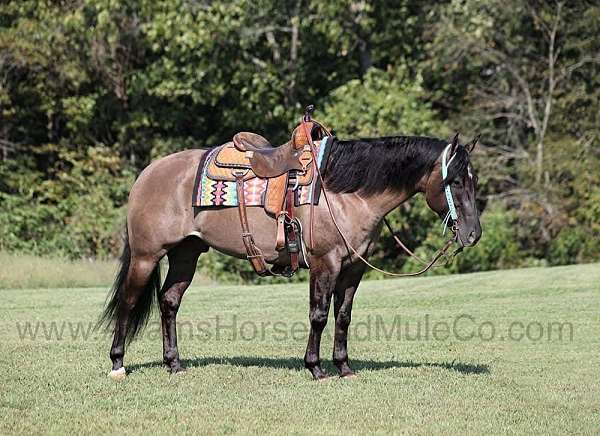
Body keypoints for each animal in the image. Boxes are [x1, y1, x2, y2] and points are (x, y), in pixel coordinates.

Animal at [101, 132, 480, 378]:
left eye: (472, 180)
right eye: (455, 181)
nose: (473, 234)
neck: (344, 192)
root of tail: (146, 174)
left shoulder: (353, 269)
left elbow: (343, 317)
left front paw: (344, 367)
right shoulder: (325, 264)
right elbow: (319, 316)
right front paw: (315, 368)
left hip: (186, 255)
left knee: (169, 302)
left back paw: (174, 364)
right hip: (147, 256)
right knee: (129, 301)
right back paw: (118, 364)